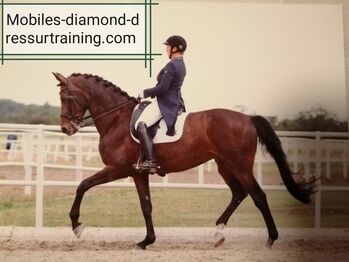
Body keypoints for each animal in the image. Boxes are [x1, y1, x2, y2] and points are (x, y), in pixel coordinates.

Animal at [53, 72, 316, 250]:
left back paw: (270, 239)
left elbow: (83, 185)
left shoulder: (117, 169)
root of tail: (248, 118)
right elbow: (146, 206)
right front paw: (147, 241)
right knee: (239, 194)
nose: (66, 129)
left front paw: (77, 226)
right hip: (224, 165)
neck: (116, 119)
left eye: (66, 97)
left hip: (240, 166)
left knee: (258, 196)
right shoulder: (138, 173)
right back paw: (217, 233)